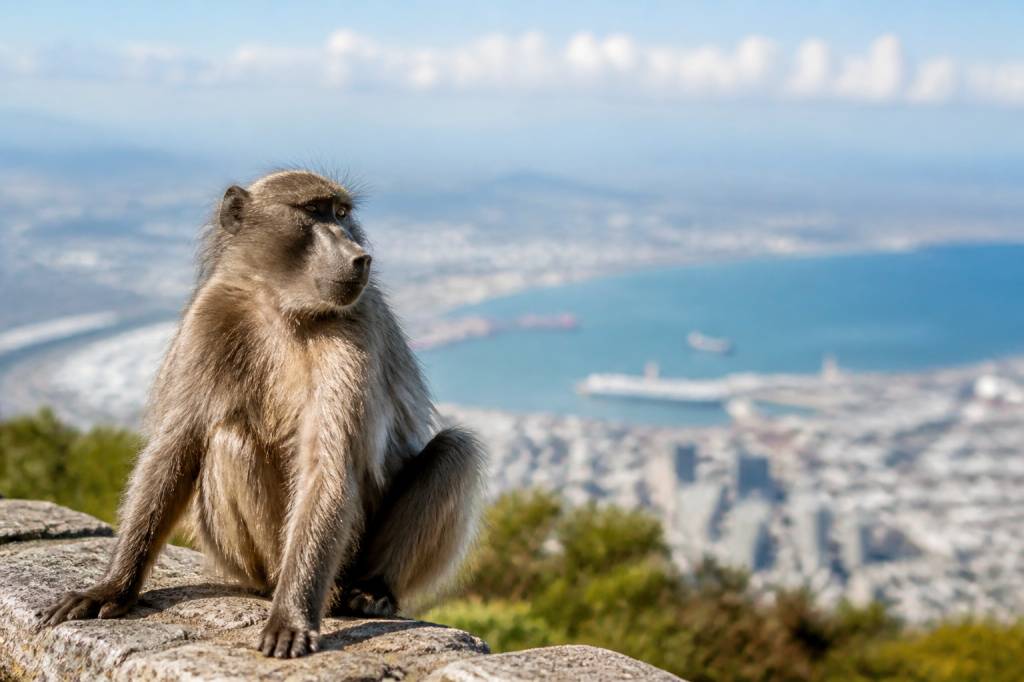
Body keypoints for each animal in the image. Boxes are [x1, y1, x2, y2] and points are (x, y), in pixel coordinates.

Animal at [41, 170, 488, 659]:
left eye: (342, 213)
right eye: (314, 211)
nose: (359, 255)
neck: (280, 305)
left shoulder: (353, 326)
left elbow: (327, 464)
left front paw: (291, 616)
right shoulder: (210, 315)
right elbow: (175, 447)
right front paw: (113, 587)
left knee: (455, 452)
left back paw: (368, 590)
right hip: (255, 559)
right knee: (228, 440)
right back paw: (281, 587)